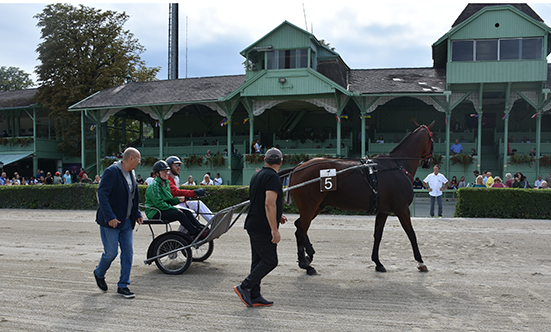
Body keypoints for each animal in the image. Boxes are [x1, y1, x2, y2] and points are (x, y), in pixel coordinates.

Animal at [284, 122, 436, 274]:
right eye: (432, 137)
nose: (429, 162)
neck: (398, 165)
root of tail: (297, 168)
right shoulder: (402, 209)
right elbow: (411, 234)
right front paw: (421, 262)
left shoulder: (383, 211)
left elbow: (378, 235)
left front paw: (378, 262)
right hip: (310, 205)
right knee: (301, 230)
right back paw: (305, 264)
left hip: (318, 206)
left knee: (300, 226)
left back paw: (309, 255)